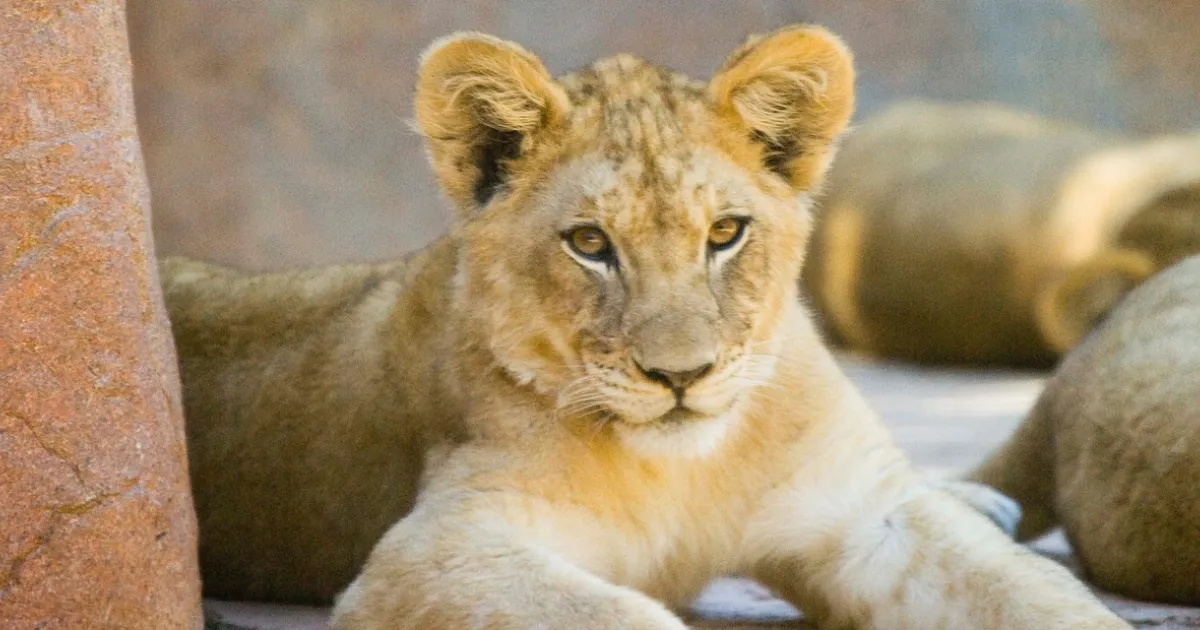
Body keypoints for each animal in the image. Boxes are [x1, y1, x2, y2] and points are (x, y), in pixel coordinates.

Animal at [162, 27, 1132, 628]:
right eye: (591, 244)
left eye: (725, 233)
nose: (681, 377)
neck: (685, 471)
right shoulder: (433, 551)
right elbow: (614, 611)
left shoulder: (867, 512)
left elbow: (1035, 594)